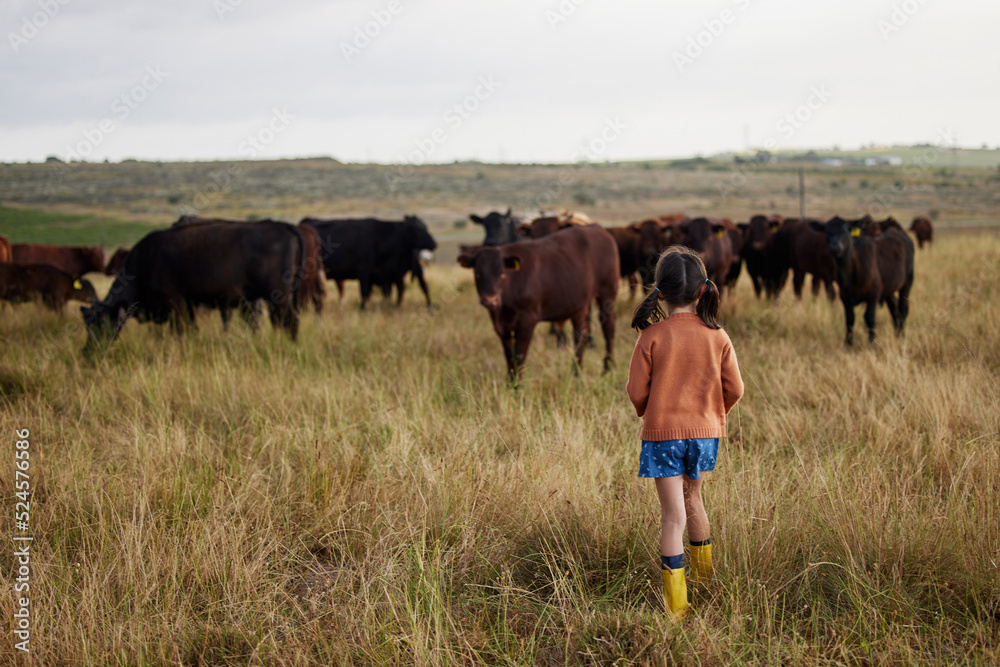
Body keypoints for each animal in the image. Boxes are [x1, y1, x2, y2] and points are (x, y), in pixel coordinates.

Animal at [82, 222, 304, 352]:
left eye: (101, 322)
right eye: (87, 325)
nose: (89, 350)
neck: (144, 263)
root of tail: (284, 226)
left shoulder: (177, 305)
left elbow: (181, 331)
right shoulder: (188, 306)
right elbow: (191, 330)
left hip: (278, 298)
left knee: (288, 321)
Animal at [298, 217, 436, 310]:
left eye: (426, 227)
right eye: (418, 229)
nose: (434, 243)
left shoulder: (386, 276)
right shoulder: (364, 269)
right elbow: (365, 291)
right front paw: (362, 308)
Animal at [458, 224, 616, 380]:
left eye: (502, 273)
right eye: (477, 273)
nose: (490, 299)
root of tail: (597, 228)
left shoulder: (527, 320)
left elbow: (519, 356)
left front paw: (517, 385)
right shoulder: (502, 327)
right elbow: (509, 357)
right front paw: (510, 383)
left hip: (607, 294)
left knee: (608, 329)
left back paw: (607, 369)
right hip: (580, 306)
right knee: (580, 336)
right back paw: (576, 373)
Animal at [812, 217, 916, 348]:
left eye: (846, 231)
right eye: (827, 232)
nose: (835, 247)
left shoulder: (873, 294)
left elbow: (869, 318)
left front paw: (872, 343)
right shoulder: (845, 297)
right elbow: (849, 319)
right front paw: (848, 344)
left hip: (907, 283)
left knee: (903, 309)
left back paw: (902, 336)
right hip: (889, 288)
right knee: (894, 308)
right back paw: (897, 334)